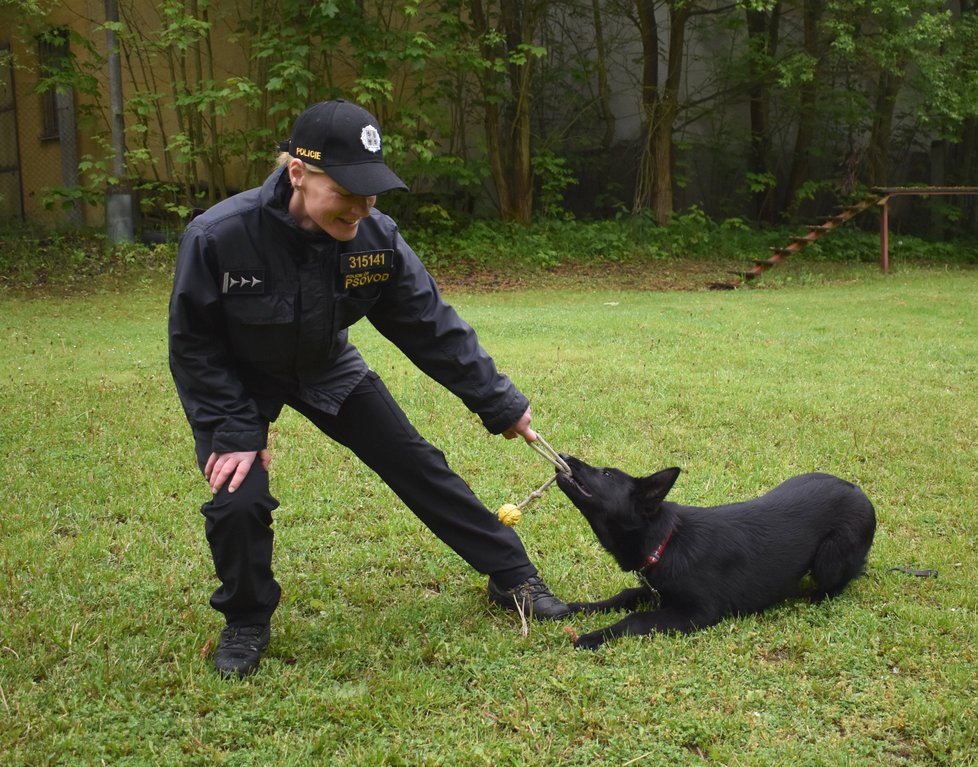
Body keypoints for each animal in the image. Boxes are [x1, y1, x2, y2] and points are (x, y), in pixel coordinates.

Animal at [552, 456, 872, 648]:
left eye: (605, 473)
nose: (565, 457)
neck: (666, 540)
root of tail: (860, 492)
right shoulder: (656, 591)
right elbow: (623, 596)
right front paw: (578, 608)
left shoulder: (698, 612)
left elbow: (635, 620)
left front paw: (594, 636)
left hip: (829, 557)